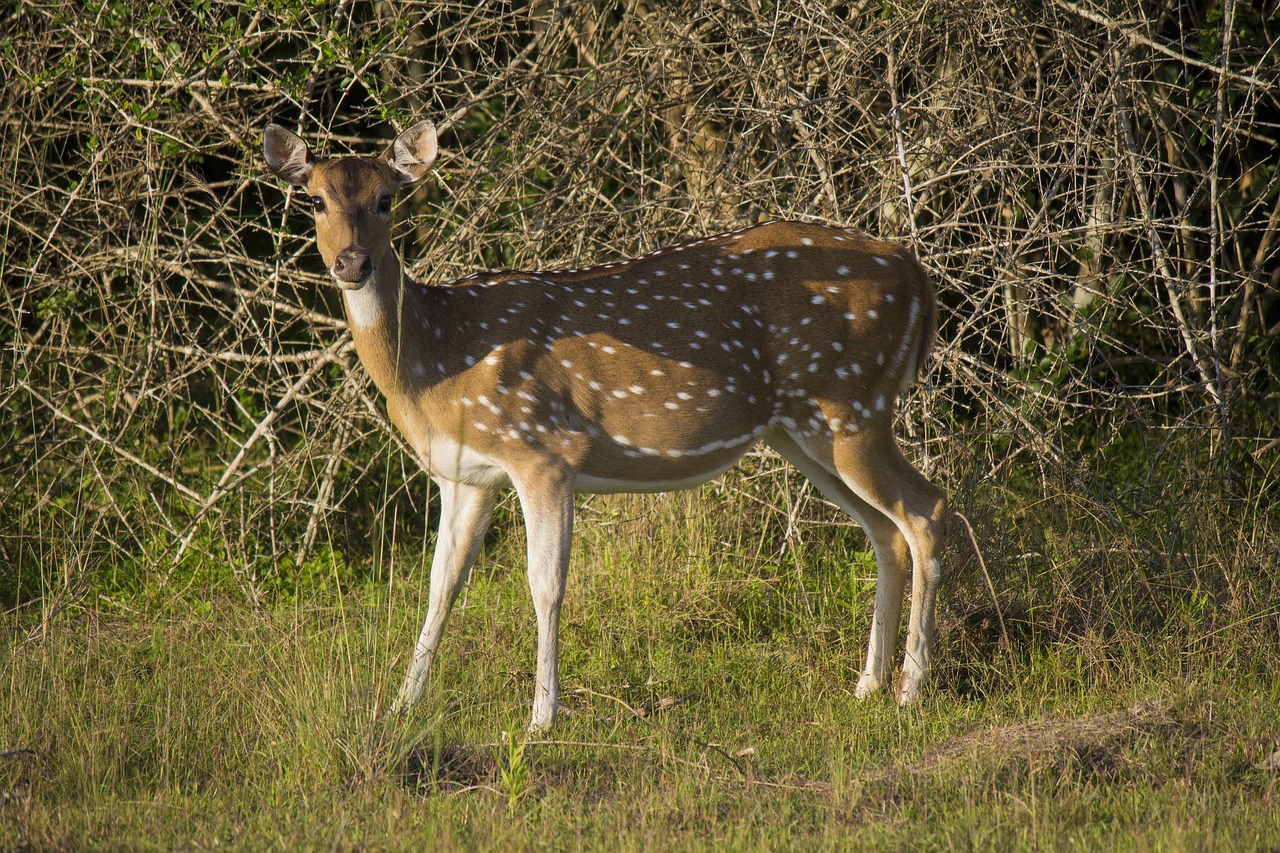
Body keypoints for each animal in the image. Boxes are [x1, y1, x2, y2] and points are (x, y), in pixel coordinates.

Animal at [264, 119, 947, 732]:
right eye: (315, 199)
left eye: (386, 198)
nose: (352, 262)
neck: (436, 361)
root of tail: (919, 275)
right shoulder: (466, 475)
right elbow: (440, 585)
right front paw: (404, 705)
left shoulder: (543, 450)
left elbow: (545, 584)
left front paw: (541, 718)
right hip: (805, 432)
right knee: (885, 532)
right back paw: (868, 685)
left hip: (852, 403)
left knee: (926, 510)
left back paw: (911, 688)